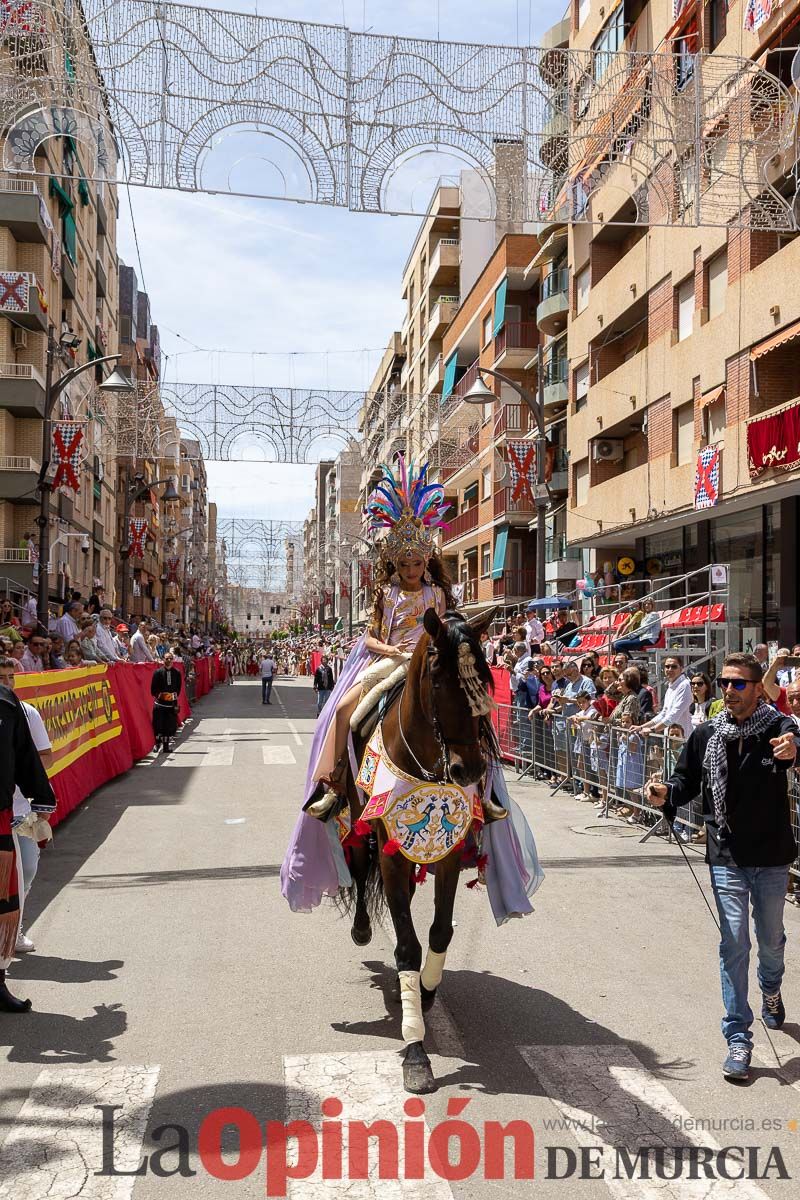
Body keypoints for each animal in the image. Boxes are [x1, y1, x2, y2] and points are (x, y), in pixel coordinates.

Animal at [345, 609, 501, 1099]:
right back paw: (361, 929)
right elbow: (407, 947)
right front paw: (416, 1053)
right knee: (359, 871)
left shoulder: (448, 853)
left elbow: (439, 933)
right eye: (438, 678)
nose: (470, 769)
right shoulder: (390, 852)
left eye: (485, 679)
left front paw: (426, 991)